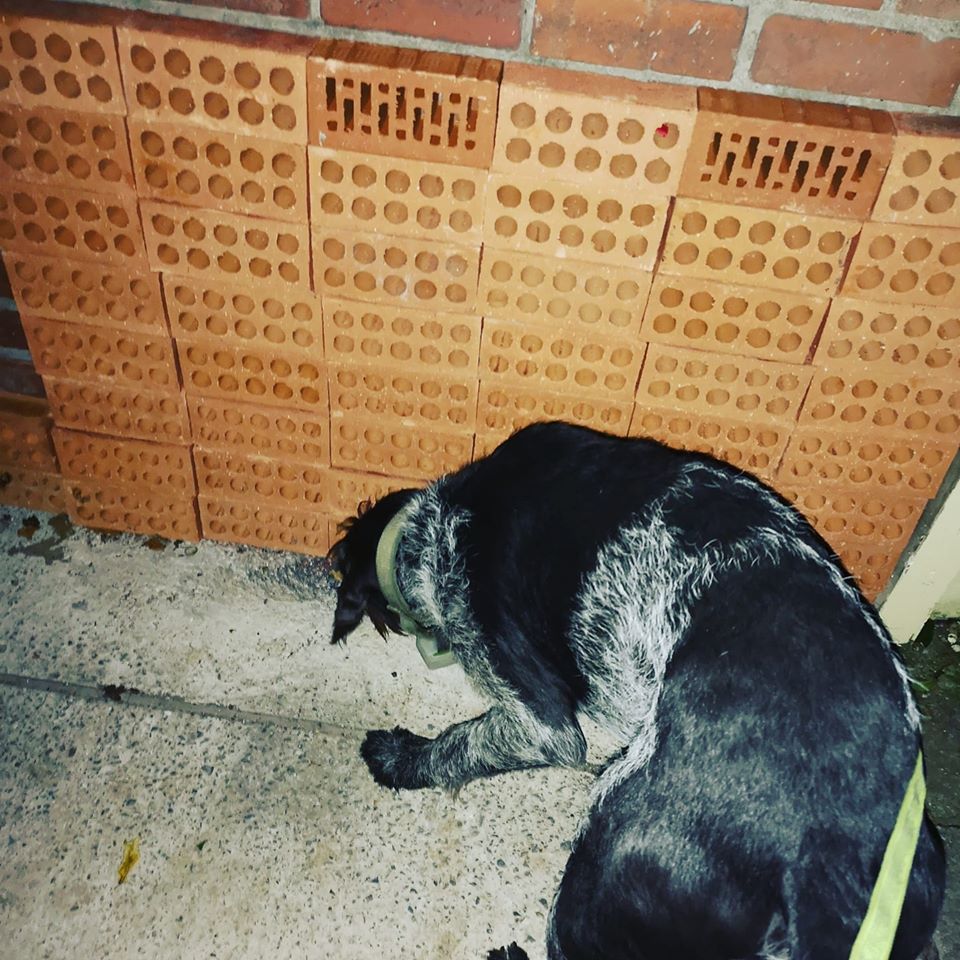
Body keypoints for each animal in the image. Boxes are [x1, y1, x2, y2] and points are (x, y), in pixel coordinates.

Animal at [329, 421, 945, 959]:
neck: (434, 525)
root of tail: (821, 874)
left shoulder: (537, 718)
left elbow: (459, 745)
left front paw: (397, 757)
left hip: (605, 845)